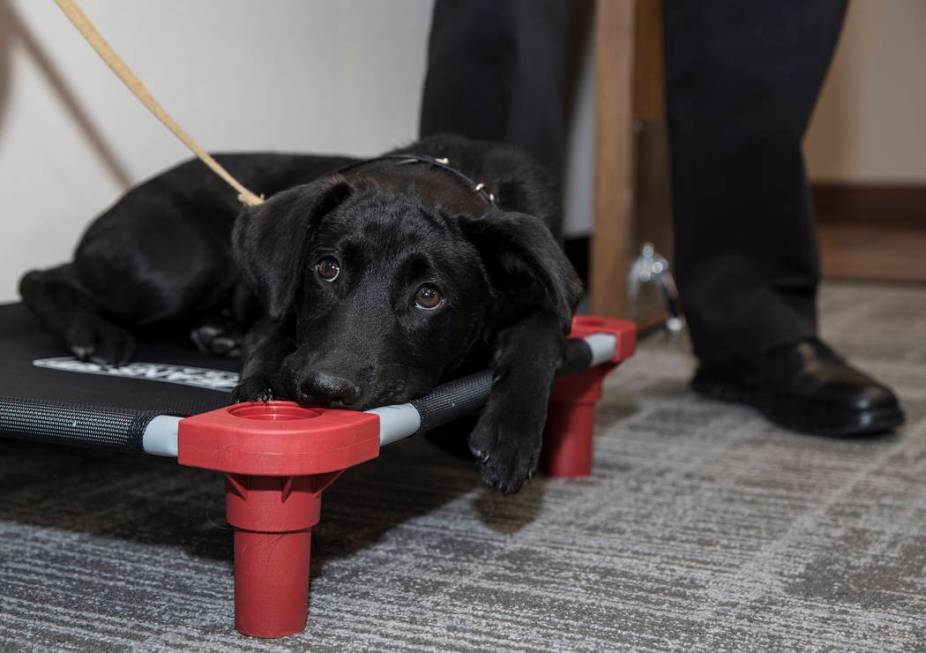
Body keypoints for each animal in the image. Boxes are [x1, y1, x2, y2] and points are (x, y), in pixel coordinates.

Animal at [20, 134, 580, 488]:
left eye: (429, 296)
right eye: (326, 268)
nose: (323, 389)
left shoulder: (545, 297)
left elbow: (540, 336)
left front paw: (512, 434)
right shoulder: (275, 310)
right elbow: (272, 342)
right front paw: (263, 385)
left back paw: (214, 332)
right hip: (176, 274)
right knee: (41, 276)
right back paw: (94, 334)